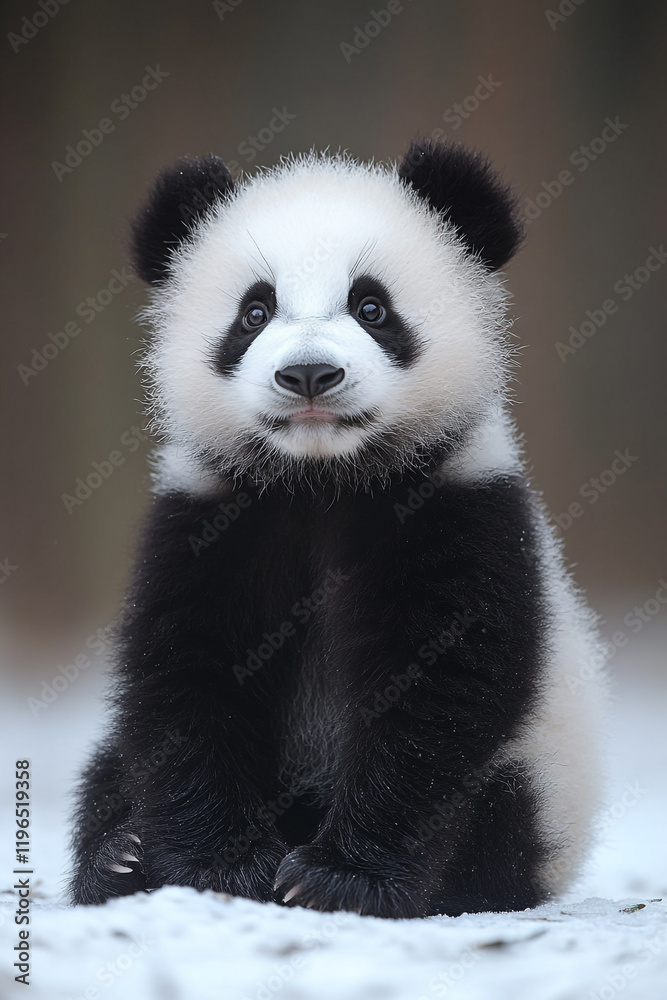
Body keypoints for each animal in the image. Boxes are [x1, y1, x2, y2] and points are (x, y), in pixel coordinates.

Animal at [70, 140, 607, 918]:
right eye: (254, 311)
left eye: (371, 306)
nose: (309, 374)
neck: (323, 479)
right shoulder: (208, 519)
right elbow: (186, 680)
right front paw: (222, 866)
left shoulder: (461, 506)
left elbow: (437, 693)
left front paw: (338, 877)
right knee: (113, 765)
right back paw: (119, 855)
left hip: (538, 778)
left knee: (499, 815)